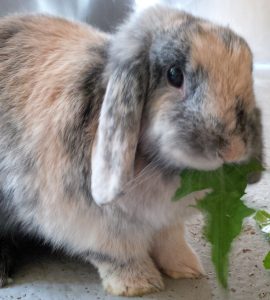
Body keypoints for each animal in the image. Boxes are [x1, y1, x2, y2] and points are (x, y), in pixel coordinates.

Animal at [0, 4, 262, 298]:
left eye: (249, 72)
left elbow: (171, 242)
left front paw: (187, 268)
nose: (232, 149)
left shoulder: (167, 222)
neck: (157, 166)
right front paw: (140, 284)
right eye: (174, 74)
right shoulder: (95, 226)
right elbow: (119, 254)